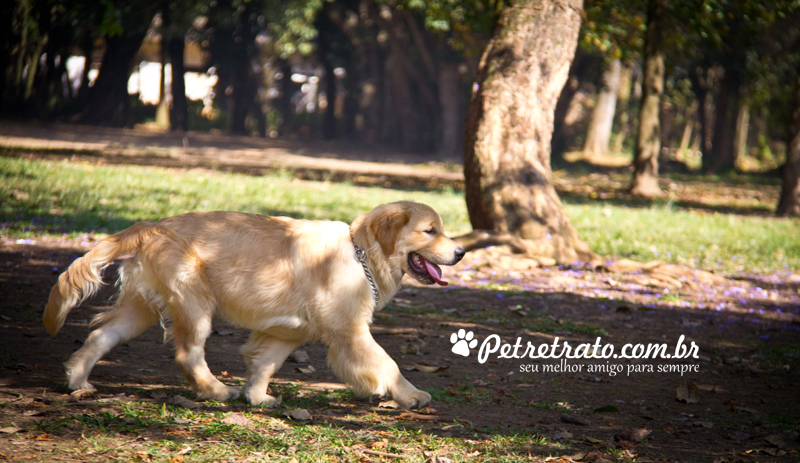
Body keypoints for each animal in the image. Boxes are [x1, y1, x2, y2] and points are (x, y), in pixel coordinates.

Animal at [43, 203, 466, 410]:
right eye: (430, 231)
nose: (461, 252)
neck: (360, 251)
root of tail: (150, 226)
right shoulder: (350, 331)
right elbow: (388, 364)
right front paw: (411, 395)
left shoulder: (287, 333)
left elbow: (266, 363)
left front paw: (258, 397)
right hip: (195, 303)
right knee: (186, 354)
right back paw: (214, 390)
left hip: (139, 310)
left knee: (99, 336)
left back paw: (77, 381)